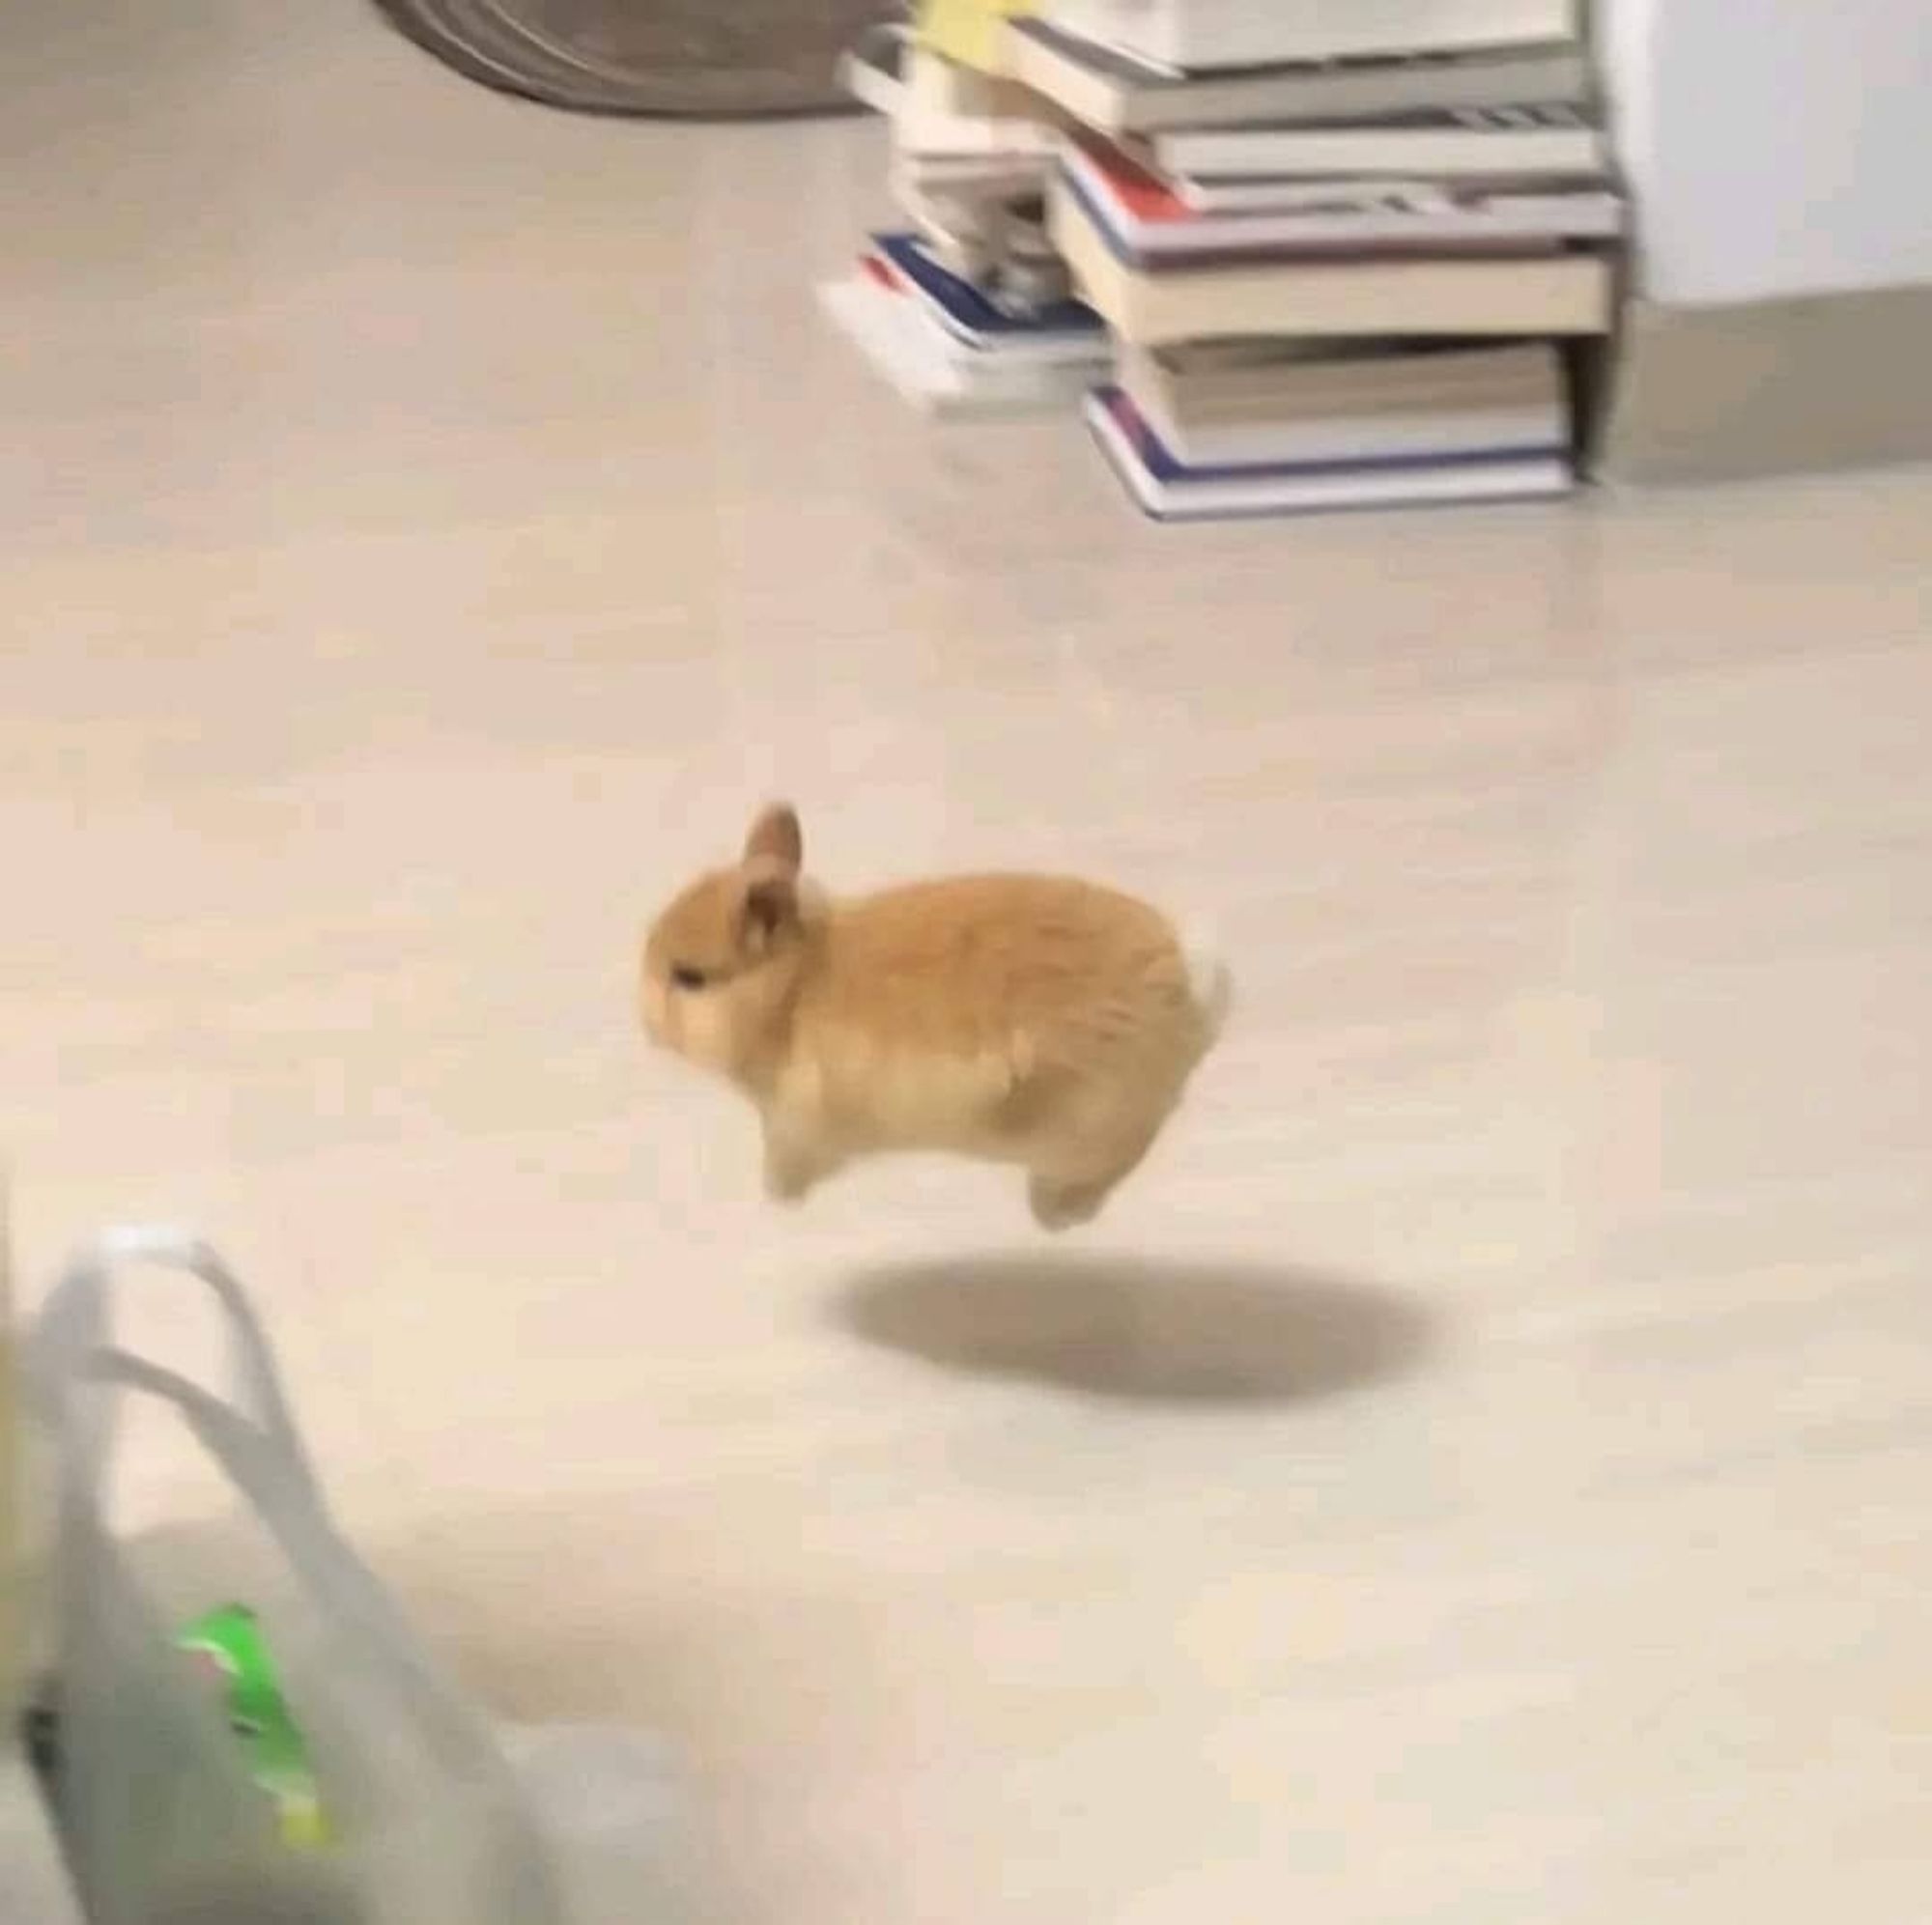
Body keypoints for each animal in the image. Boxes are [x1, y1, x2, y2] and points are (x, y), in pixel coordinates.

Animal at [641, 800, 1229, 1229]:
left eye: (689, 978)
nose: (645, 1023)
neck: (792, 995)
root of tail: (1189, 992)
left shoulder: (799, 1129)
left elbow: (789, 1165)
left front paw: (777, 1200)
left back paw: (1056, 1213)